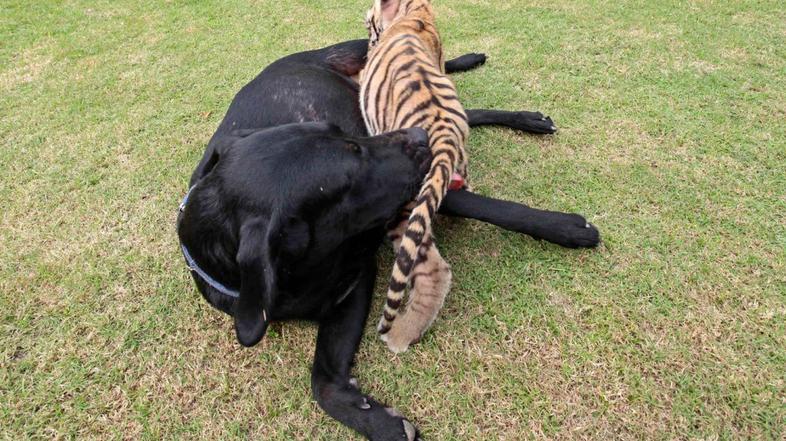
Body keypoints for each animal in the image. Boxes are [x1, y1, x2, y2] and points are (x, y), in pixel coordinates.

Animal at [359, 0, 470, 352]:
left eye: (369, 22)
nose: (367, 40)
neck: (417, 12)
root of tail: (444, 135)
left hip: (405, 209)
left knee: (433, 269)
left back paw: (400, 335)